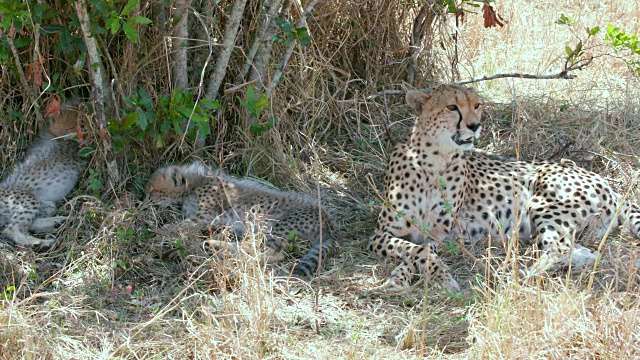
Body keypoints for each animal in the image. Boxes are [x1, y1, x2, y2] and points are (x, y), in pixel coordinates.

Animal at [0, 105, 87, 249]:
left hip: (46, 203)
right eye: (74, 125)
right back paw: (40, 243)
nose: (84, 133)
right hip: (28, 198)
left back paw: (57, 222)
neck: (58, 136)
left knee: (31, 223)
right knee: (12, 229)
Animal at [144, 162, 340, 278]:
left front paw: (156, 235)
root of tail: (330, 223)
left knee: (269, 251)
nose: (143, 202)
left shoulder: (204, 217)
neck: (194, 184)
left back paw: (216, 246)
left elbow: (176, 227)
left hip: (271, 225)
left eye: (153, 191)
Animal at [370, 84, 640, 292]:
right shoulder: (381, 234)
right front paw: (402, 278)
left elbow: (422, 251)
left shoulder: (440, 234)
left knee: (558, 248)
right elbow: (414, 251)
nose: (475, 126)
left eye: (477, 105)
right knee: (581, 251)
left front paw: (435, 278)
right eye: (451, 107)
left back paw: (517, 277)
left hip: (544, 204)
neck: (433, 163)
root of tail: (609, 185)